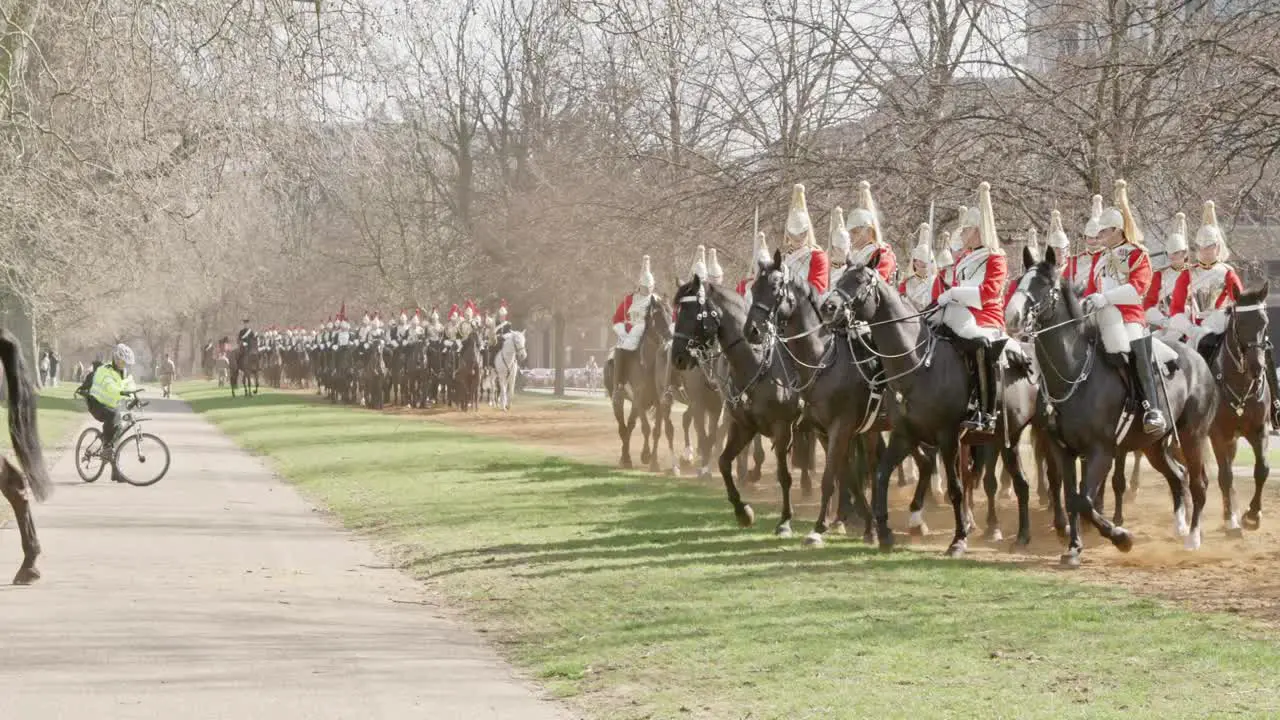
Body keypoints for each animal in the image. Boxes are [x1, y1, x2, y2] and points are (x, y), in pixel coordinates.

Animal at [824, 248, 1044, 556]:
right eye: (840, 278)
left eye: (860, 281)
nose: (828, 307)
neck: (916, 364)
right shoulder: (904, 435)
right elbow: (881, 475)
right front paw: (884, 532)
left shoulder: (947, 437)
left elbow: (955, 488)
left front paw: (958, 540)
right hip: (1004, 438)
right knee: (1021, 483)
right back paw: (1022, 536)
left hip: (1013, 435)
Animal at [1013, 249, 1213, 563]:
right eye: (1021, 280)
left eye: (1045, 285)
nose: (1013, 315)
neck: (1074, 374)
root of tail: (1198, 360)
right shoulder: (1063, 450)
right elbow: (1072, 497)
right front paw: (1074, 547)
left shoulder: (1102, 450)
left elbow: (1084, 500)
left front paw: (1121, 538)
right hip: (1154, 445)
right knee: (1178, 475)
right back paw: (1180, 525)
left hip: (1193, 437)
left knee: (1198, 481)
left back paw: (1193, 537)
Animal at [1198, 283, 1269, 535]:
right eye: (1240, 323)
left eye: (1264, 322)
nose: (1257, 367)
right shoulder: (1217, 434)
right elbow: (1225, 476)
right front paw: (1231, 520)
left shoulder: (1259, 429)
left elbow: (1262, 469)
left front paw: (1253, 514)